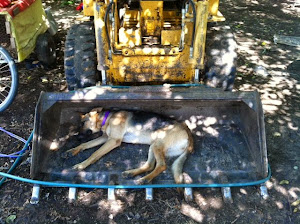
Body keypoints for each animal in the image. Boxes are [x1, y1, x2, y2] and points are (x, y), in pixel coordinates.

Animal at [65, 107, 195, 185]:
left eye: (83, 123)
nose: (76, 137)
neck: (108, 118)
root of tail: (187, 130)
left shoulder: (113, 140)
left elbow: (94, 153)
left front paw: (81, 165)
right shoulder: (106, 138)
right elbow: (86, 144)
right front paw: (71, 150)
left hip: (157, 145)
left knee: (161, 166)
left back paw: (144, 179)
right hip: (152, 146)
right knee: (149, 165)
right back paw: (131, 173)